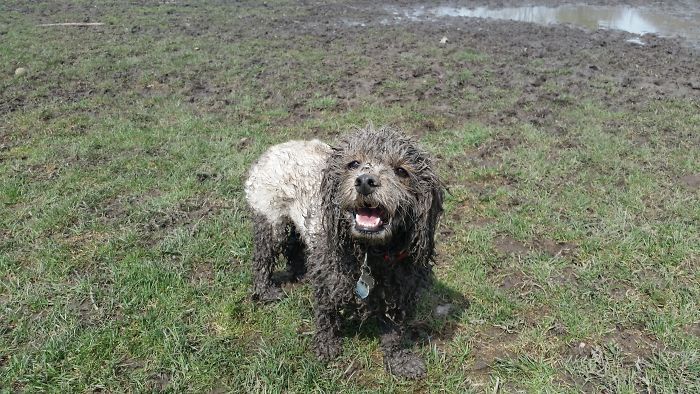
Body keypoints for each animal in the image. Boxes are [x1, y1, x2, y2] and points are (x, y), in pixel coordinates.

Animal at [243, 126, 446, 378]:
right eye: (353, 164)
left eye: (401, 171)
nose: (366, 181)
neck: (370, 253)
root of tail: (276, 147)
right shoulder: (328, 279)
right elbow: (326, 314)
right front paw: (327, 346)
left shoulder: (401, 291)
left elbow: (396, 332)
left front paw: (401, 361)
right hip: (271, 219)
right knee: (263, 257)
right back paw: (266, 291)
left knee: (294, 246)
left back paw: (299, 273)